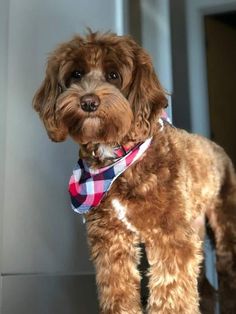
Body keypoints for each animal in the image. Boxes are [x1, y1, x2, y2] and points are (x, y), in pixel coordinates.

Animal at [33, 31, 236, 312]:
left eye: (113, 75)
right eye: (76, 74)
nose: (88, 102)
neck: (117, 161)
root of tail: (218, 147)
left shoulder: (170, 235)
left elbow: (172, 291)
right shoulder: (111, 238)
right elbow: (117, 286)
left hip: (224, 220)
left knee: (227, 263)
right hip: (193, 224)